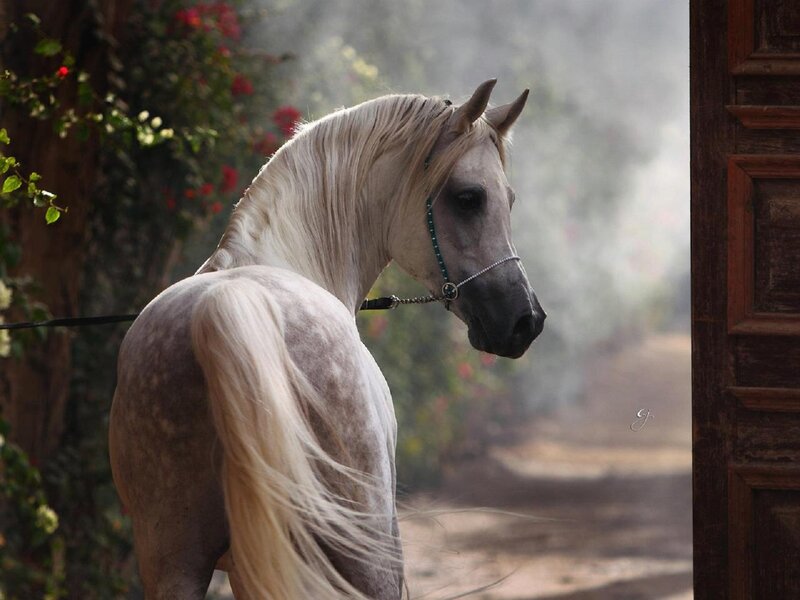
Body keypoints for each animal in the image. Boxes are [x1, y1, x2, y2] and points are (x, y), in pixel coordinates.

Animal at [108, 79, 545, 600]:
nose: (525, 320)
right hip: (366, 550)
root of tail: (226, 304)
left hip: (174, 558)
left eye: (510, 200)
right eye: (469, 198)